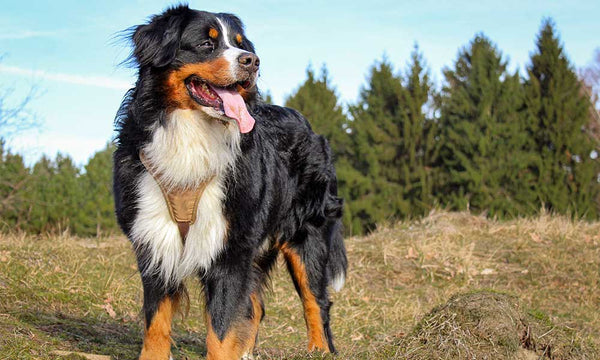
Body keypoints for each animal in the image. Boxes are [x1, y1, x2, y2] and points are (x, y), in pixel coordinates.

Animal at [113, 5, 346, 360]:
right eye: (206, 44)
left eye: (240, 44)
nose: (252, 60)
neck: (192, 136)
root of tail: (309, 126)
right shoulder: (154, 240)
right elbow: (156, 321)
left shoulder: (229, 249)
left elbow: (221, 330)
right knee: (255, 307)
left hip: (308, 235)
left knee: (315, 302)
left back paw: (318, 349)